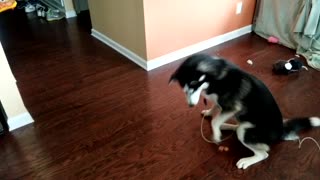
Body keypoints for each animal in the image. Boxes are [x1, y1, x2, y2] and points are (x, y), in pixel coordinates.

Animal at [169, 53, 318, 169]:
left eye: (193, 87)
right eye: (185, 90)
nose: (190, 105)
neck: (215, 76)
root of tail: (280, 131)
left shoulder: (232, 107)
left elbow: (215, 121)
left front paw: (216, 134)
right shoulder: (220, 103)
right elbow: (215, 109)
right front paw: (209, 113)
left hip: (248, 132)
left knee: (263, 152)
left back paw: (246, 160)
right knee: (237, 127)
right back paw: (226, 126)